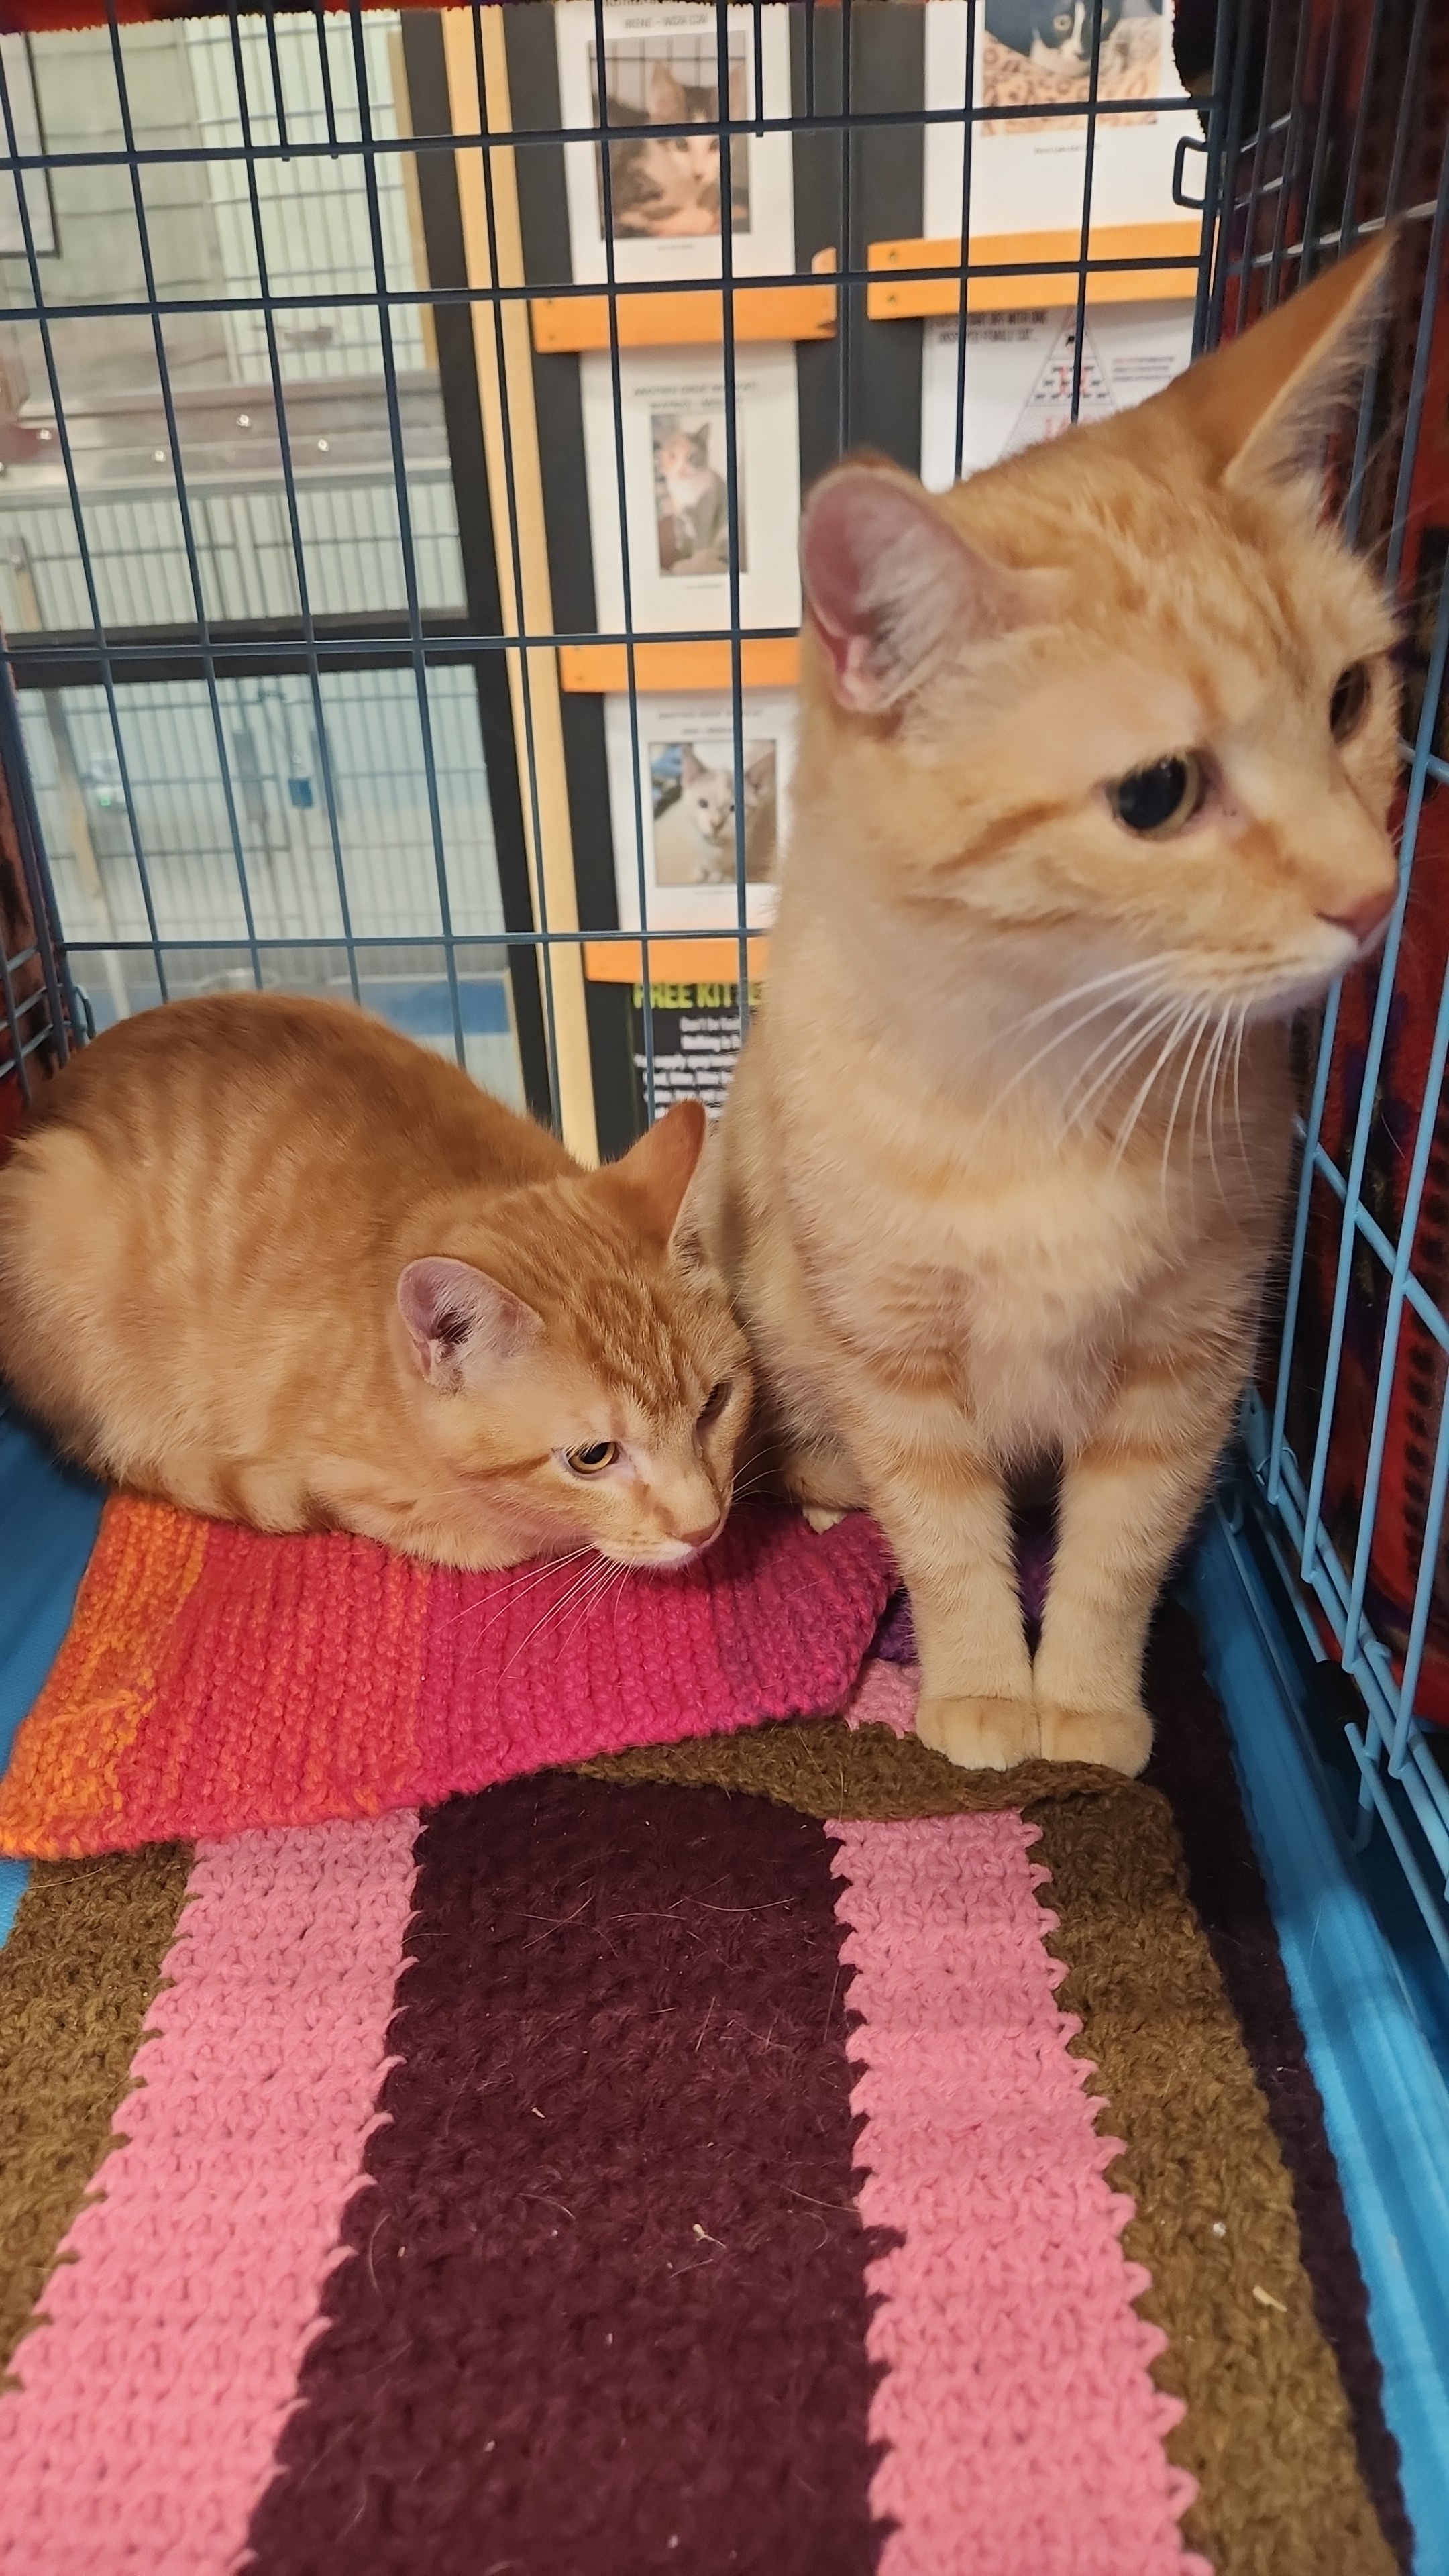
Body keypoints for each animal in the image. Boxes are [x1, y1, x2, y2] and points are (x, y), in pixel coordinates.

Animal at [696, 237, 1402, 1772]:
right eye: (1159, 793)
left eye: (1352, 700)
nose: (1378, 893)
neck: (1053, 1073)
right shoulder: (894, 1355)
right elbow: (946, 1533)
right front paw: (979, 1687)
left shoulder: (1187, 1357)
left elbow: (1121, 1545)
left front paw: (1078, 1702)